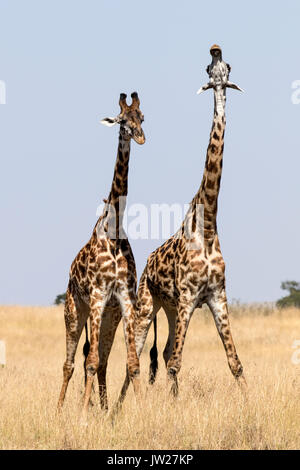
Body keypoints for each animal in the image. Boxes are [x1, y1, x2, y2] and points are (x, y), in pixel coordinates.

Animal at [57, 92, 145, 422]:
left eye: (141, 117)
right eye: (121, 121)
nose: (140, 136)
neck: (114, 227)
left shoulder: (124, 298)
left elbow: (132, 363)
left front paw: (143, 411)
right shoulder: (96, 296)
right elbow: (90, 361)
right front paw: (83, 417)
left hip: (110, 316)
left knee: (102, 360)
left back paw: (105, 410)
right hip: (74, 311)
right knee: (72, 362)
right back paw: (59, 411)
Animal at [116, 46, 246, 408]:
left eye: (228, 67)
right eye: (208, 69)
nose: (215, 49)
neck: (208, 226)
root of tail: (147, 263)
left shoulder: (216, 295)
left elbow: (235, 363)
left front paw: (251, 407)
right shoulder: (189, 296)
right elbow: (176, 362)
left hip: (172, 310)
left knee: (160, 352)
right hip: (149, 304)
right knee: (138, 352)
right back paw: (120, 406)